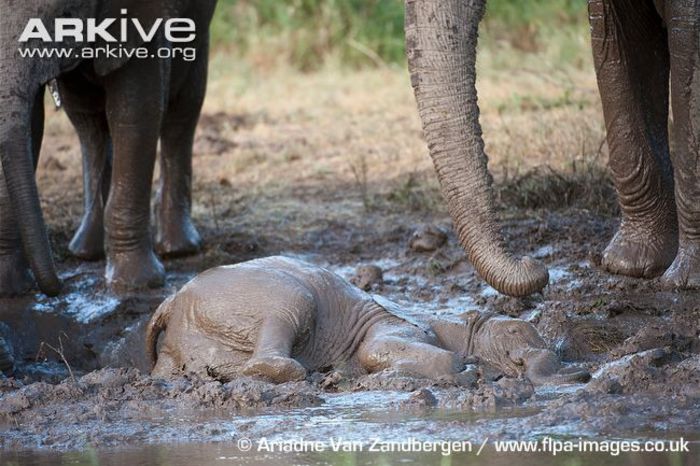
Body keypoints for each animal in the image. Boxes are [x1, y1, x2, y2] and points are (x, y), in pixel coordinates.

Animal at [146, 256, 592, 384]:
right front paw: (467, 372)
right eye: (516, 329)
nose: (581, 375)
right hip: (277, 297)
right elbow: (374, 350)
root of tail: (171, 301)